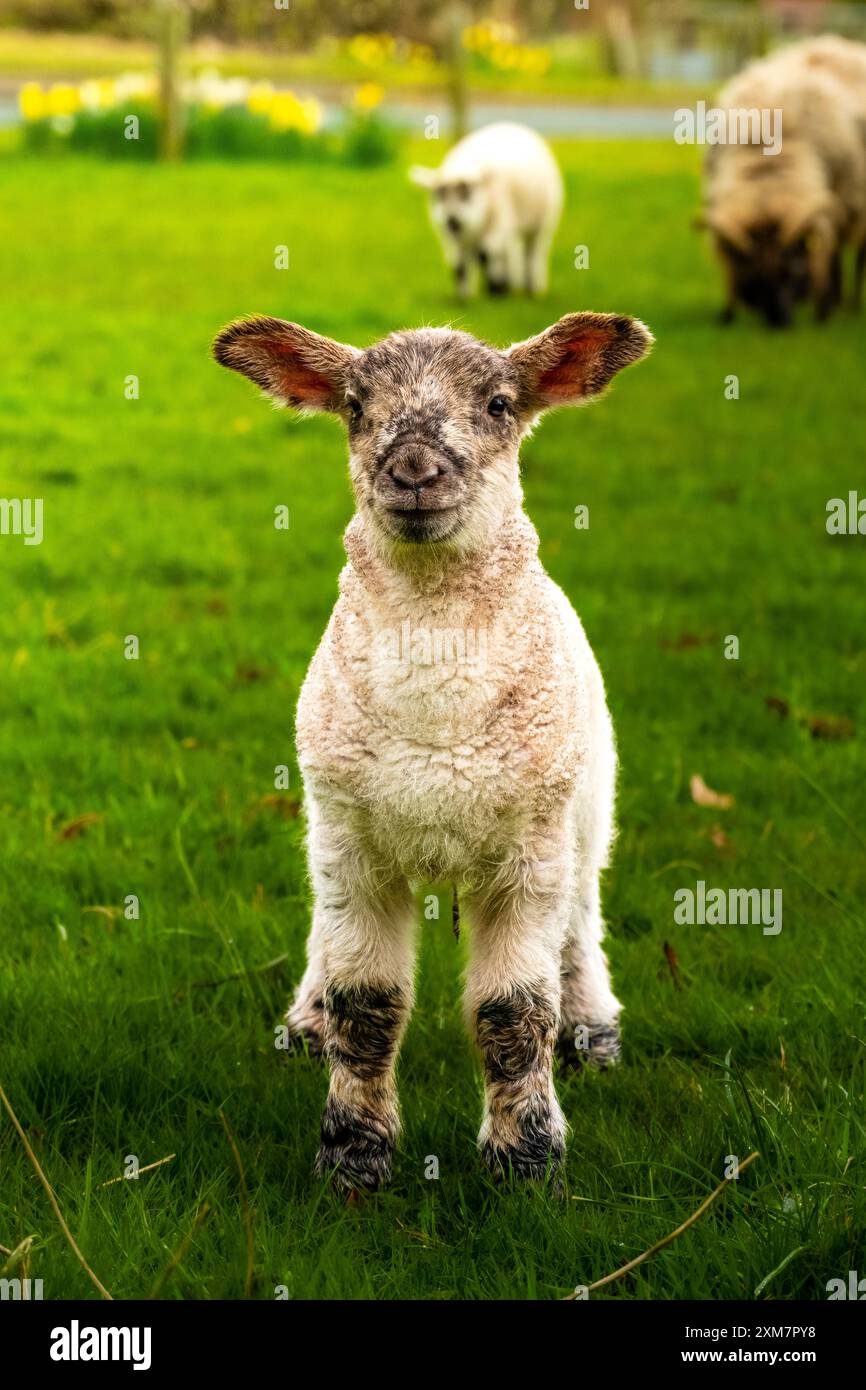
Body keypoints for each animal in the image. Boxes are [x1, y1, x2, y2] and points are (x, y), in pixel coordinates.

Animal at [214, 309, 653, 1189]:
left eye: (498, 404)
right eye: (354, 408)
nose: (414, 470)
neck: (436, 727)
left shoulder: (529, 851)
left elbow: (513, 1013)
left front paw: (526, 1162)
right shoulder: (353, 844)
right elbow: (368, 1008)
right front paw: (354, 1156)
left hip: (588, 802)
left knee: (583, 915)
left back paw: (592, 1027)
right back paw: (306, 1016)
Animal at [408, 123, 567, 300]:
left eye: (467, 193)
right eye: (438, 195)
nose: (452, 219)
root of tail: (515, 126)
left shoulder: (502, 220)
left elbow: (484, 254)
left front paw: (494, 289)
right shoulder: (451, 237)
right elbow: (459, 265)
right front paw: (463, 297)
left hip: (542, 222)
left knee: (532, 253)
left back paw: (530, 288)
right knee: (507, 252)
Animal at [697, 42, 866, 325]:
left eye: (793, 273)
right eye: (753, 278)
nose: (779, 321)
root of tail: (839, 44)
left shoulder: (833, 198)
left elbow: (825, 252)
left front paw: (822, 312)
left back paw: (849, 305)